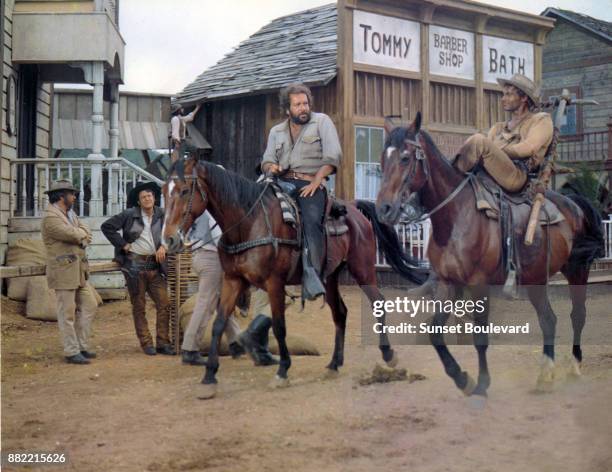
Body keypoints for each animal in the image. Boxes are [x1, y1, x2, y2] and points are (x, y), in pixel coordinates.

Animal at [160, 156, 424, 398]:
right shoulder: (233, 280)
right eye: (164, 190)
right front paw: (209, 377)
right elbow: (218, 324)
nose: (169, 239)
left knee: (378, 302)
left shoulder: (274, 283)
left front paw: (283, 371)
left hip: (363, 269)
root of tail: (351, 208)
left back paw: (388, 355)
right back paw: (333, 364)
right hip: (329, 277)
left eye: (184, 190)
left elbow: (279, 326)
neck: (249, 223)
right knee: (340, 313)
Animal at [376, 112, 604, 400]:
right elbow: (435, 332)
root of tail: (575, 204)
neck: (455, 215)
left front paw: (482, 384)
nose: (384, 208)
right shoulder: (447, 283)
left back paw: (573, 366)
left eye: (405, 157)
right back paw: (545, 375)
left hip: (577, 269)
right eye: (383, 159)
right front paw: (462, 378)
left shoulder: (478, 285)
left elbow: (480, 336)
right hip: (536, 279)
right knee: (548, 320)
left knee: (577, 314)